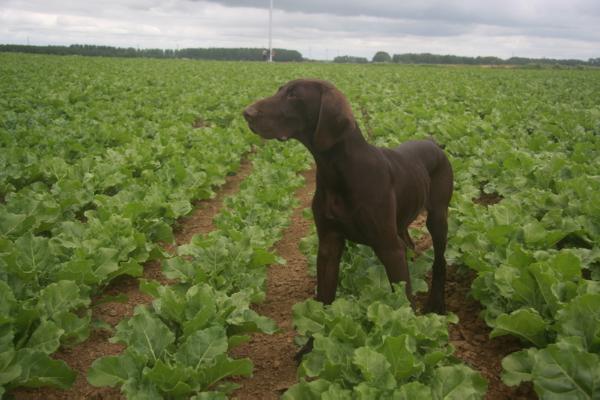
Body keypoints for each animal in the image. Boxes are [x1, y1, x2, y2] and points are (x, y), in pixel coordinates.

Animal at [241, 79, 452, 316]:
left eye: (294, 95)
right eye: (280, 91)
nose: (246, 113)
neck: (338, 172)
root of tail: (433, 143)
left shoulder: (389, 248)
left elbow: (404, 301)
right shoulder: (328, 243)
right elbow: (324, 298)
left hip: (437, 218)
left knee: (440, 261)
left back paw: (436, 305)